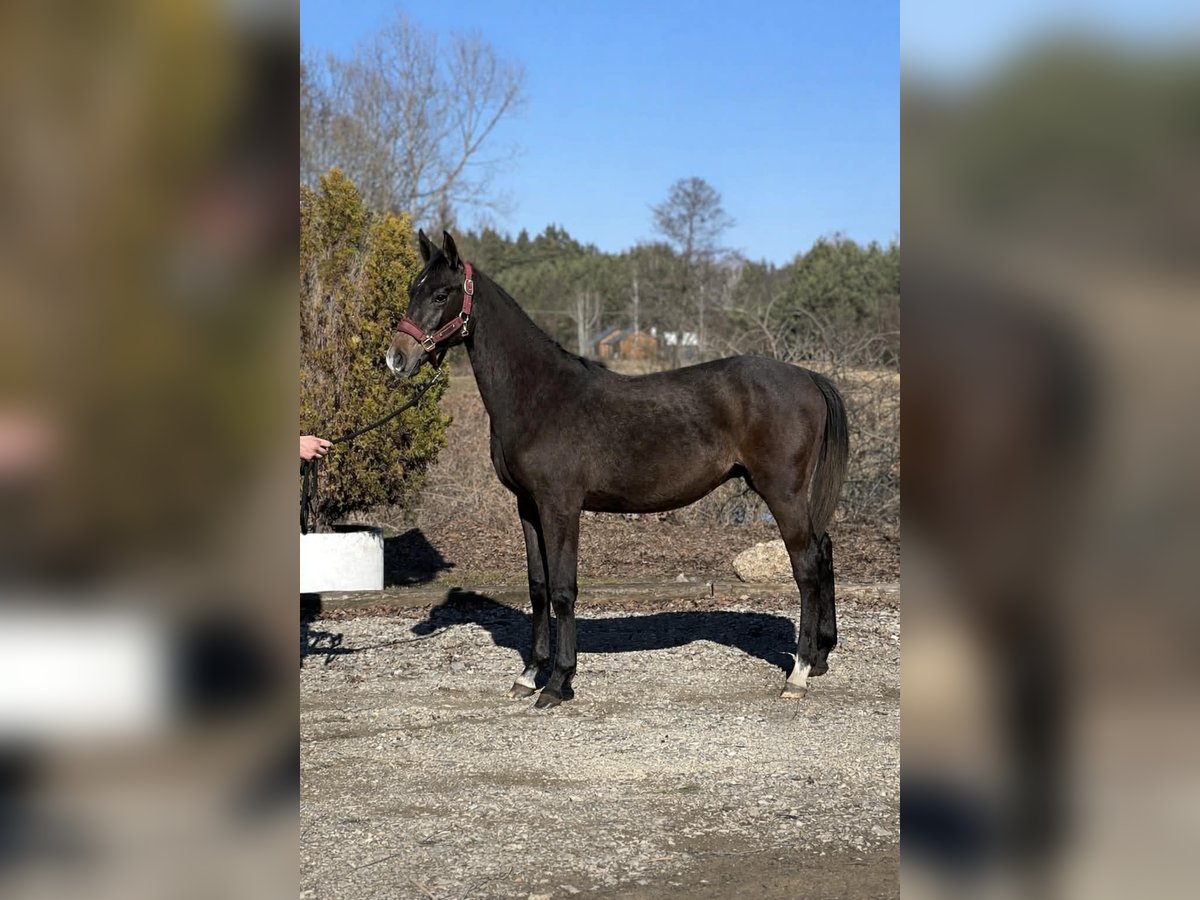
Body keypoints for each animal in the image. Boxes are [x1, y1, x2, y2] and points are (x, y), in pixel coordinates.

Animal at [387, 230, 849, 708]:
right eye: (412, 289)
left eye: (441, 294)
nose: (396, 358)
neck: (539, 395)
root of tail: (808, 377)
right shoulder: (527, 506)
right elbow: (537, 587)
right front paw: (529, 674)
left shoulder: (560, 506)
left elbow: (563, 590)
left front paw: (558, 682)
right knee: (824, 549)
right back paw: (820, 657)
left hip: (782, 491)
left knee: (807, 567)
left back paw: (797, 674)